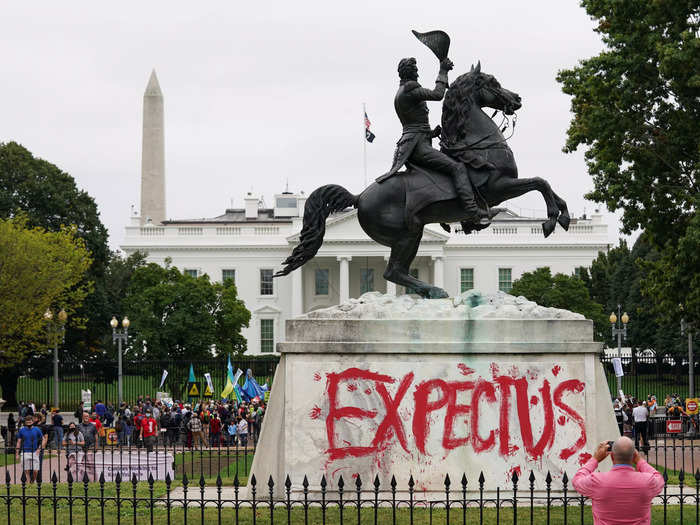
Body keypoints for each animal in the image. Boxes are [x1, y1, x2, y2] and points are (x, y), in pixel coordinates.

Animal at [274, 61, 568, 296]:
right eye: (493, 82)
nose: (517, 99)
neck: (479, 145)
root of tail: (359, 197)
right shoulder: (498, 187)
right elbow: (540, 181)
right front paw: (551, 219)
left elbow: (545, 184)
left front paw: (562, 216)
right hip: (408, 232)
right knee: (392, 271)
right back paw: (433, 290)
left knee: (397, 271)